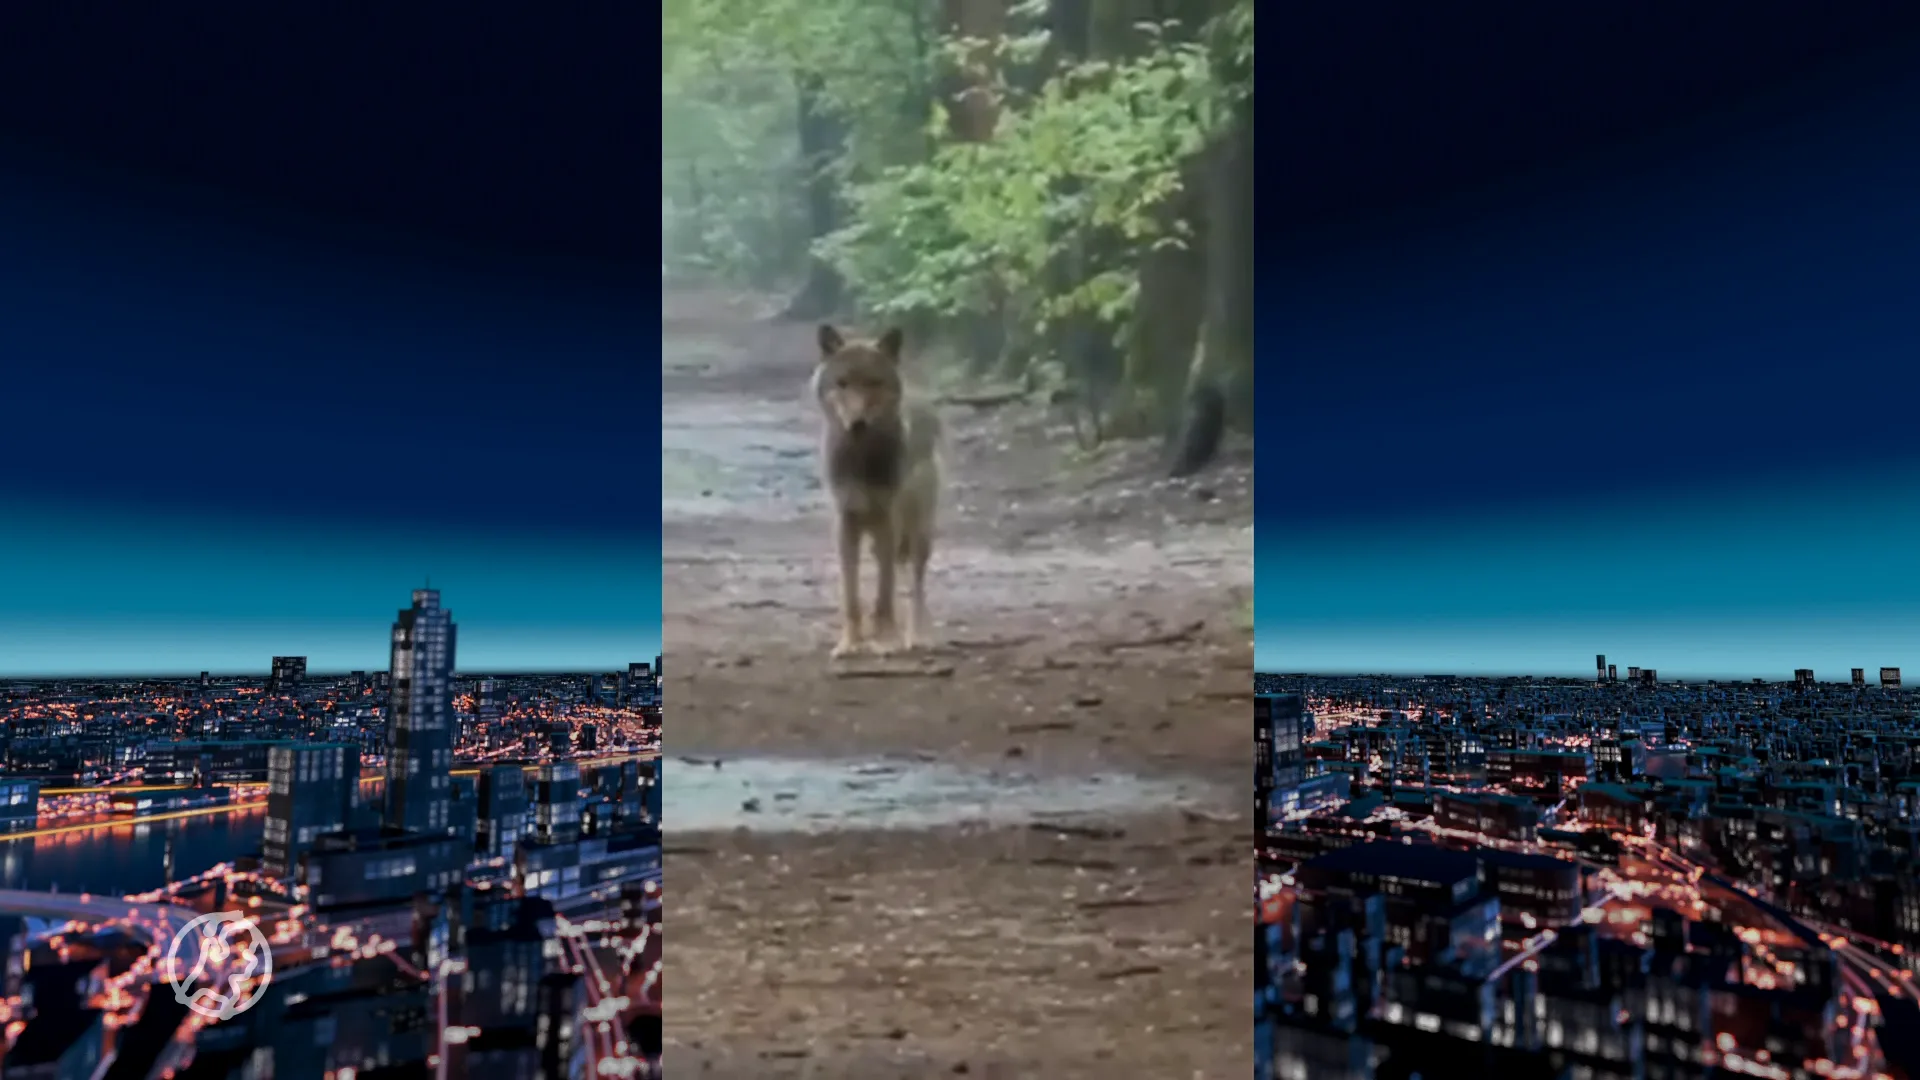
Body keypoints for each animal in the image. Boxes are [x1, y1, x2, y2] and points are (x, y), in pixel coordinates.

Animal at [811, 323, 942, 658]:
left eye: (873, 383)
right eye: (843, 384)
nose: (857, 423)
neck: (860, 461)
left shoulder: (887, 522)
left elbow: (884, 592)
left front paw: (885, 640)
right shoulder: (845, 523)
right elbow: (851, 596)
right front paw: (850, 643)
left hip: (919, 534)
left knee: (915, 586)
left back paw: (917, 637)